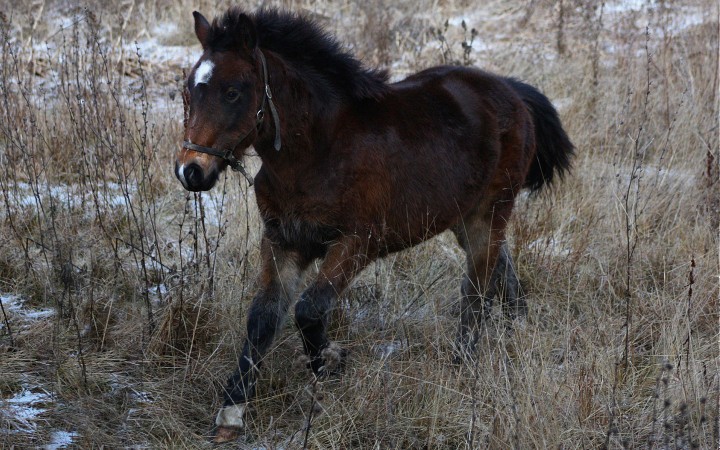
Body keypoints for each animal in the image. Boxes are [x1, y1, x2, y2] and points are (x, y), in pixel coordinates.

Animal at [173, 6, 572, 442]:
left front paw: (332, 360)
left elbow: (309, 310)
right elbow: (263, 317)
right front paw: (232, 412)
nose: (191, 171)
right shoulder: (282, 241)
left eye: (233, 92)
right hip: (464, 217)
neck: (317, 152)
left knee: (477, 288)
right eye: (189, 91)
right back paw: (518, 328)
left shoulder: (357, 243)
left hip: (489, 211)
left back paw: (462, 364)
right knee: (503, 264)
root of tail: (511, 90)